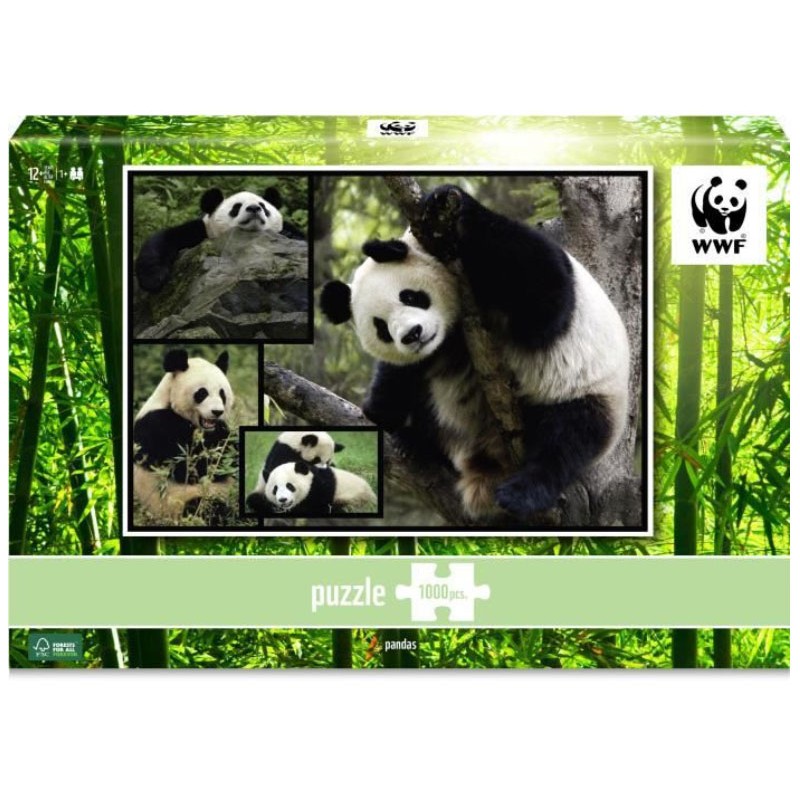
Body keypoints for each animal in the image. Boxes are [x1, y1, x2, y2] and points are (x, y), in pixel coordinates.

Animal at [133, 349, 237, 522]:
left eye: (222, 393)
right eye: (202, 393)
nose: (217, 412)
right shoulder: (155, 426)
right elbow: (187, 467)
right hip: (172, 504)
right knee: (205, 507)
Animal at [135, 186, 305, 292]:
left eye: (263, 206)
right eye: (236, 207)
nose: (254, 208)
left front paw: (290, 235)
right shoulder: (202, 231)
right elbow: (164, 240)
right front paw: (154, 279)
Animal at [320, 184, 630, 522]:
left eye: (411, 296)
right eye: (381, 328)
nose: (413, 335)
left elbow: (545, 301)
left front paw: (444, 201)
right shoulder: (434, 349)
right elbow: (399, 376)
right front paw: (380, 409)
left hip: (588, 391)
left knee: (567, 438)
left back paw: (522, 492)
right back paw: (418, 443)